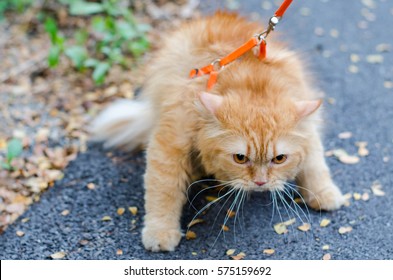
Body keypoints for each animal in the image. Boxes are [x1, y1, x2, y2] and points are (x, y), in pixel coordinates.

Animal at [92, 12, 344, 252]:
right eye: (240, 158)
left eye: (279, 159)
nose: (260, 183)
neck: (253, 82)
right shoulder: (170, 143)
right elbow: (163, 191)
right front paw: (160, 232)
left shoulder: (310, 129)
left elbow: (315, 166)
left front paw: (325, 194)